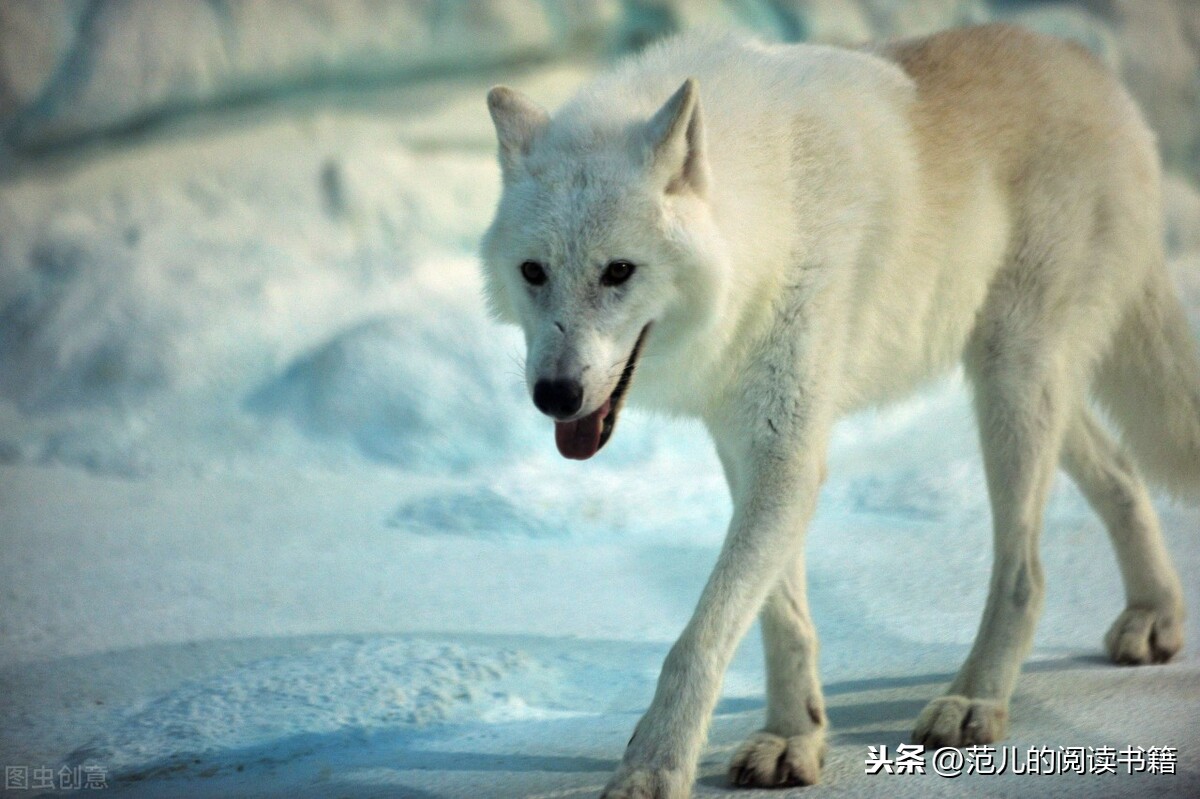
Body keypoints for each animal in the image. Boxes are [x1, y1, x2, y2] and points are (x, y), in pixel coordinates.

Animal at [477, 23, 1200, 796]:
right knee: (1120, 472)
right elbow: (779, 617)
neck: (768, 213)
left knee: (1024, 573)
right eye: (533, 272)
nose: (554, 394)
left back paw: (974, 700)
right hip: (1013, 383)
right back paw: (1154, 615)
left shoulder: (788, 453)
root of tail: (1099, 77)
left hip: (1013, 380)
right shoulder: (747, 446)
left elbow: (699, 637)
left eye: (618, 271)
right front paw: (792, 736)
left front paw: (654, 767)